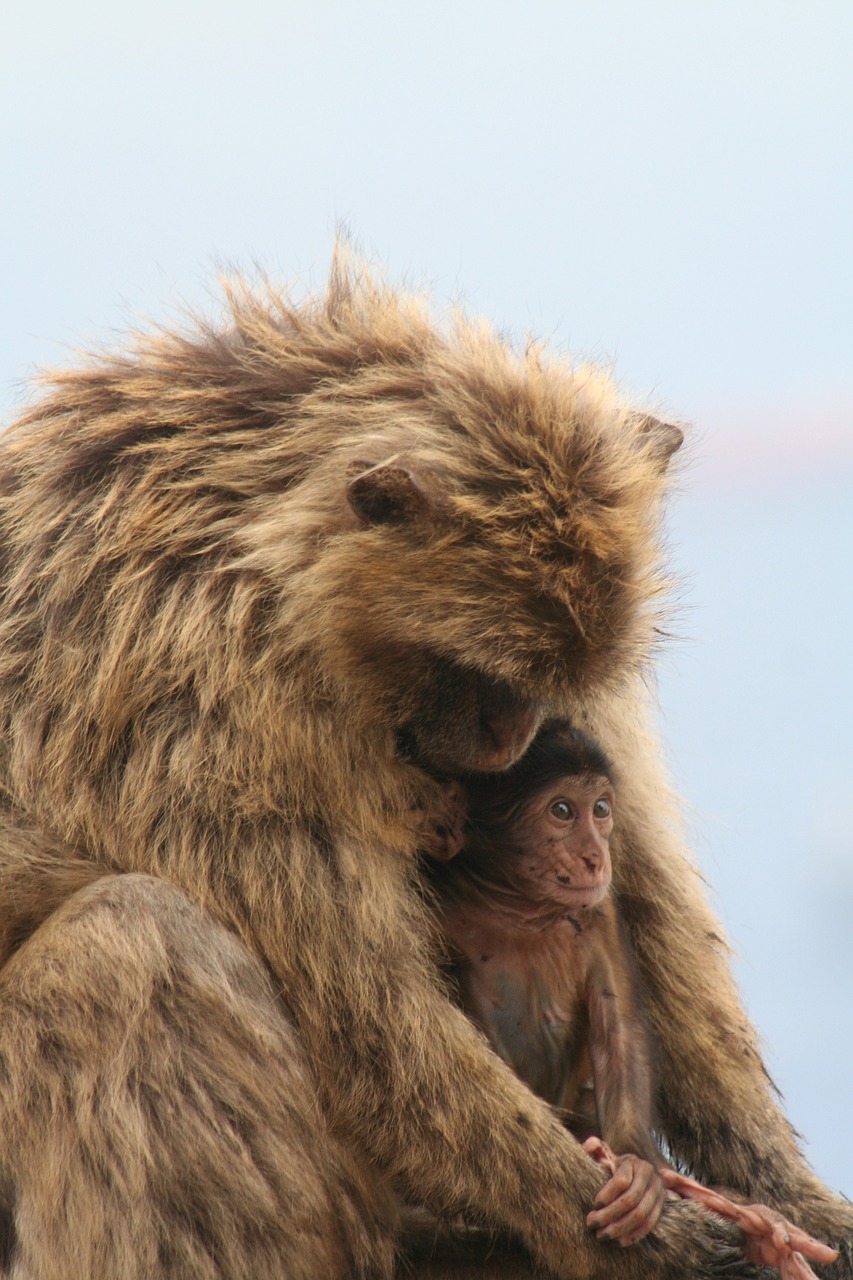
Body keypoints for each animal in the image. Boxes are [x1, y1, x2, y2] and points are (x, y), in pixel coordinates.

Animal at [427, 727, 840, 1274]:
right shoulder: (442, 909)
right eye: (562, 811)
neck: (520, 910)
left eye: (600, 809)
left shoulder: (598, 911)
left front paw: (641, 1172)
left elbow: (617, 1020)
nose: (595, 855)